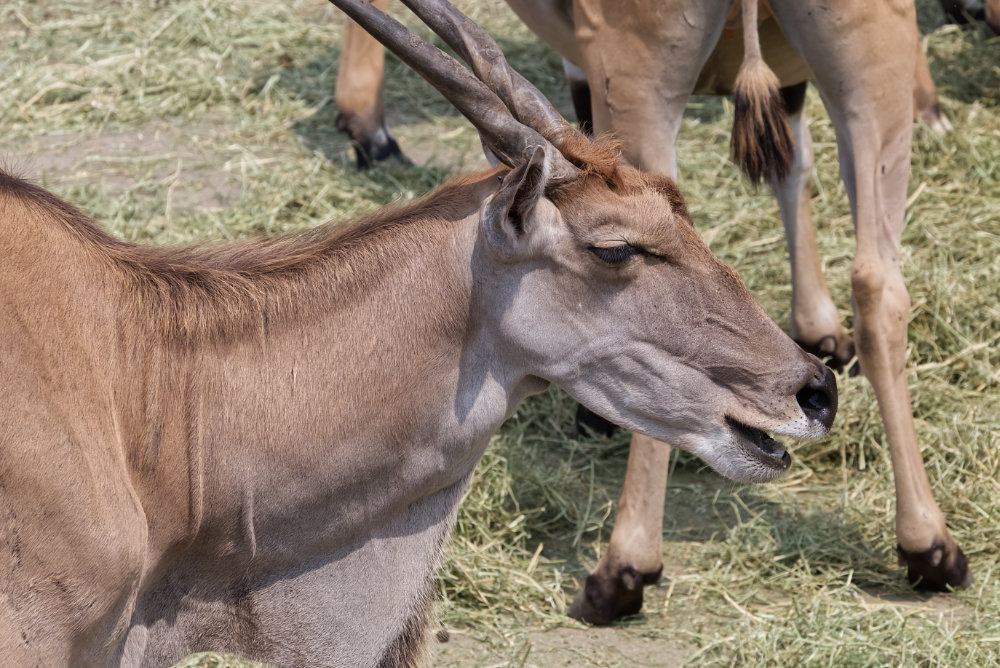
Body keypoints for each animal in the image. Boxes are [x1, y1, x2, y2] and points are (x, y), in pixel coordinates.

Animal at [334, 0, 968, 624]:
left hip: (642, 80)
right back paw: (931, 546)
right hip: (868, 71)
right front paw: (820, 326)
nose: (818, 392)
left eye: (614, 248)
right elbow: (795, 167)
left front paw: (369, 131)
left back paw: (622, 568)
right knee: (878, 281)